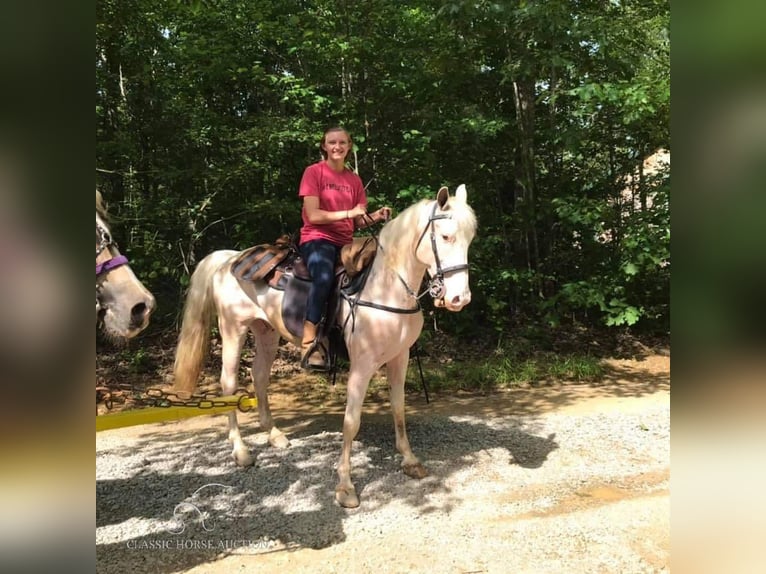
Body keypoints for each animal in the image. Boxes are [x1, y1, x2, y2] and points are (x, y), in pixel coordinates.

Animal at [172, 186, 480, 508]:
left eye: (469, 238)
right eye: (445, 236)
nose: (459, 298)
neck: (384, 287)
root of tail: (229, 259)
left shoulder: (400, 357)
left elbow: (398, 408)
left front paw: (409, 460)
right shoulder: (362, 366)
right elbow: (351, 422)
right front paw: (345, 486)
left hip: (266, 332)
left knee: (260, 377)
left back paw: (274, 435)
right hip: (234, 329)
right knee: (229, 384)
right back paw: (241, 451)